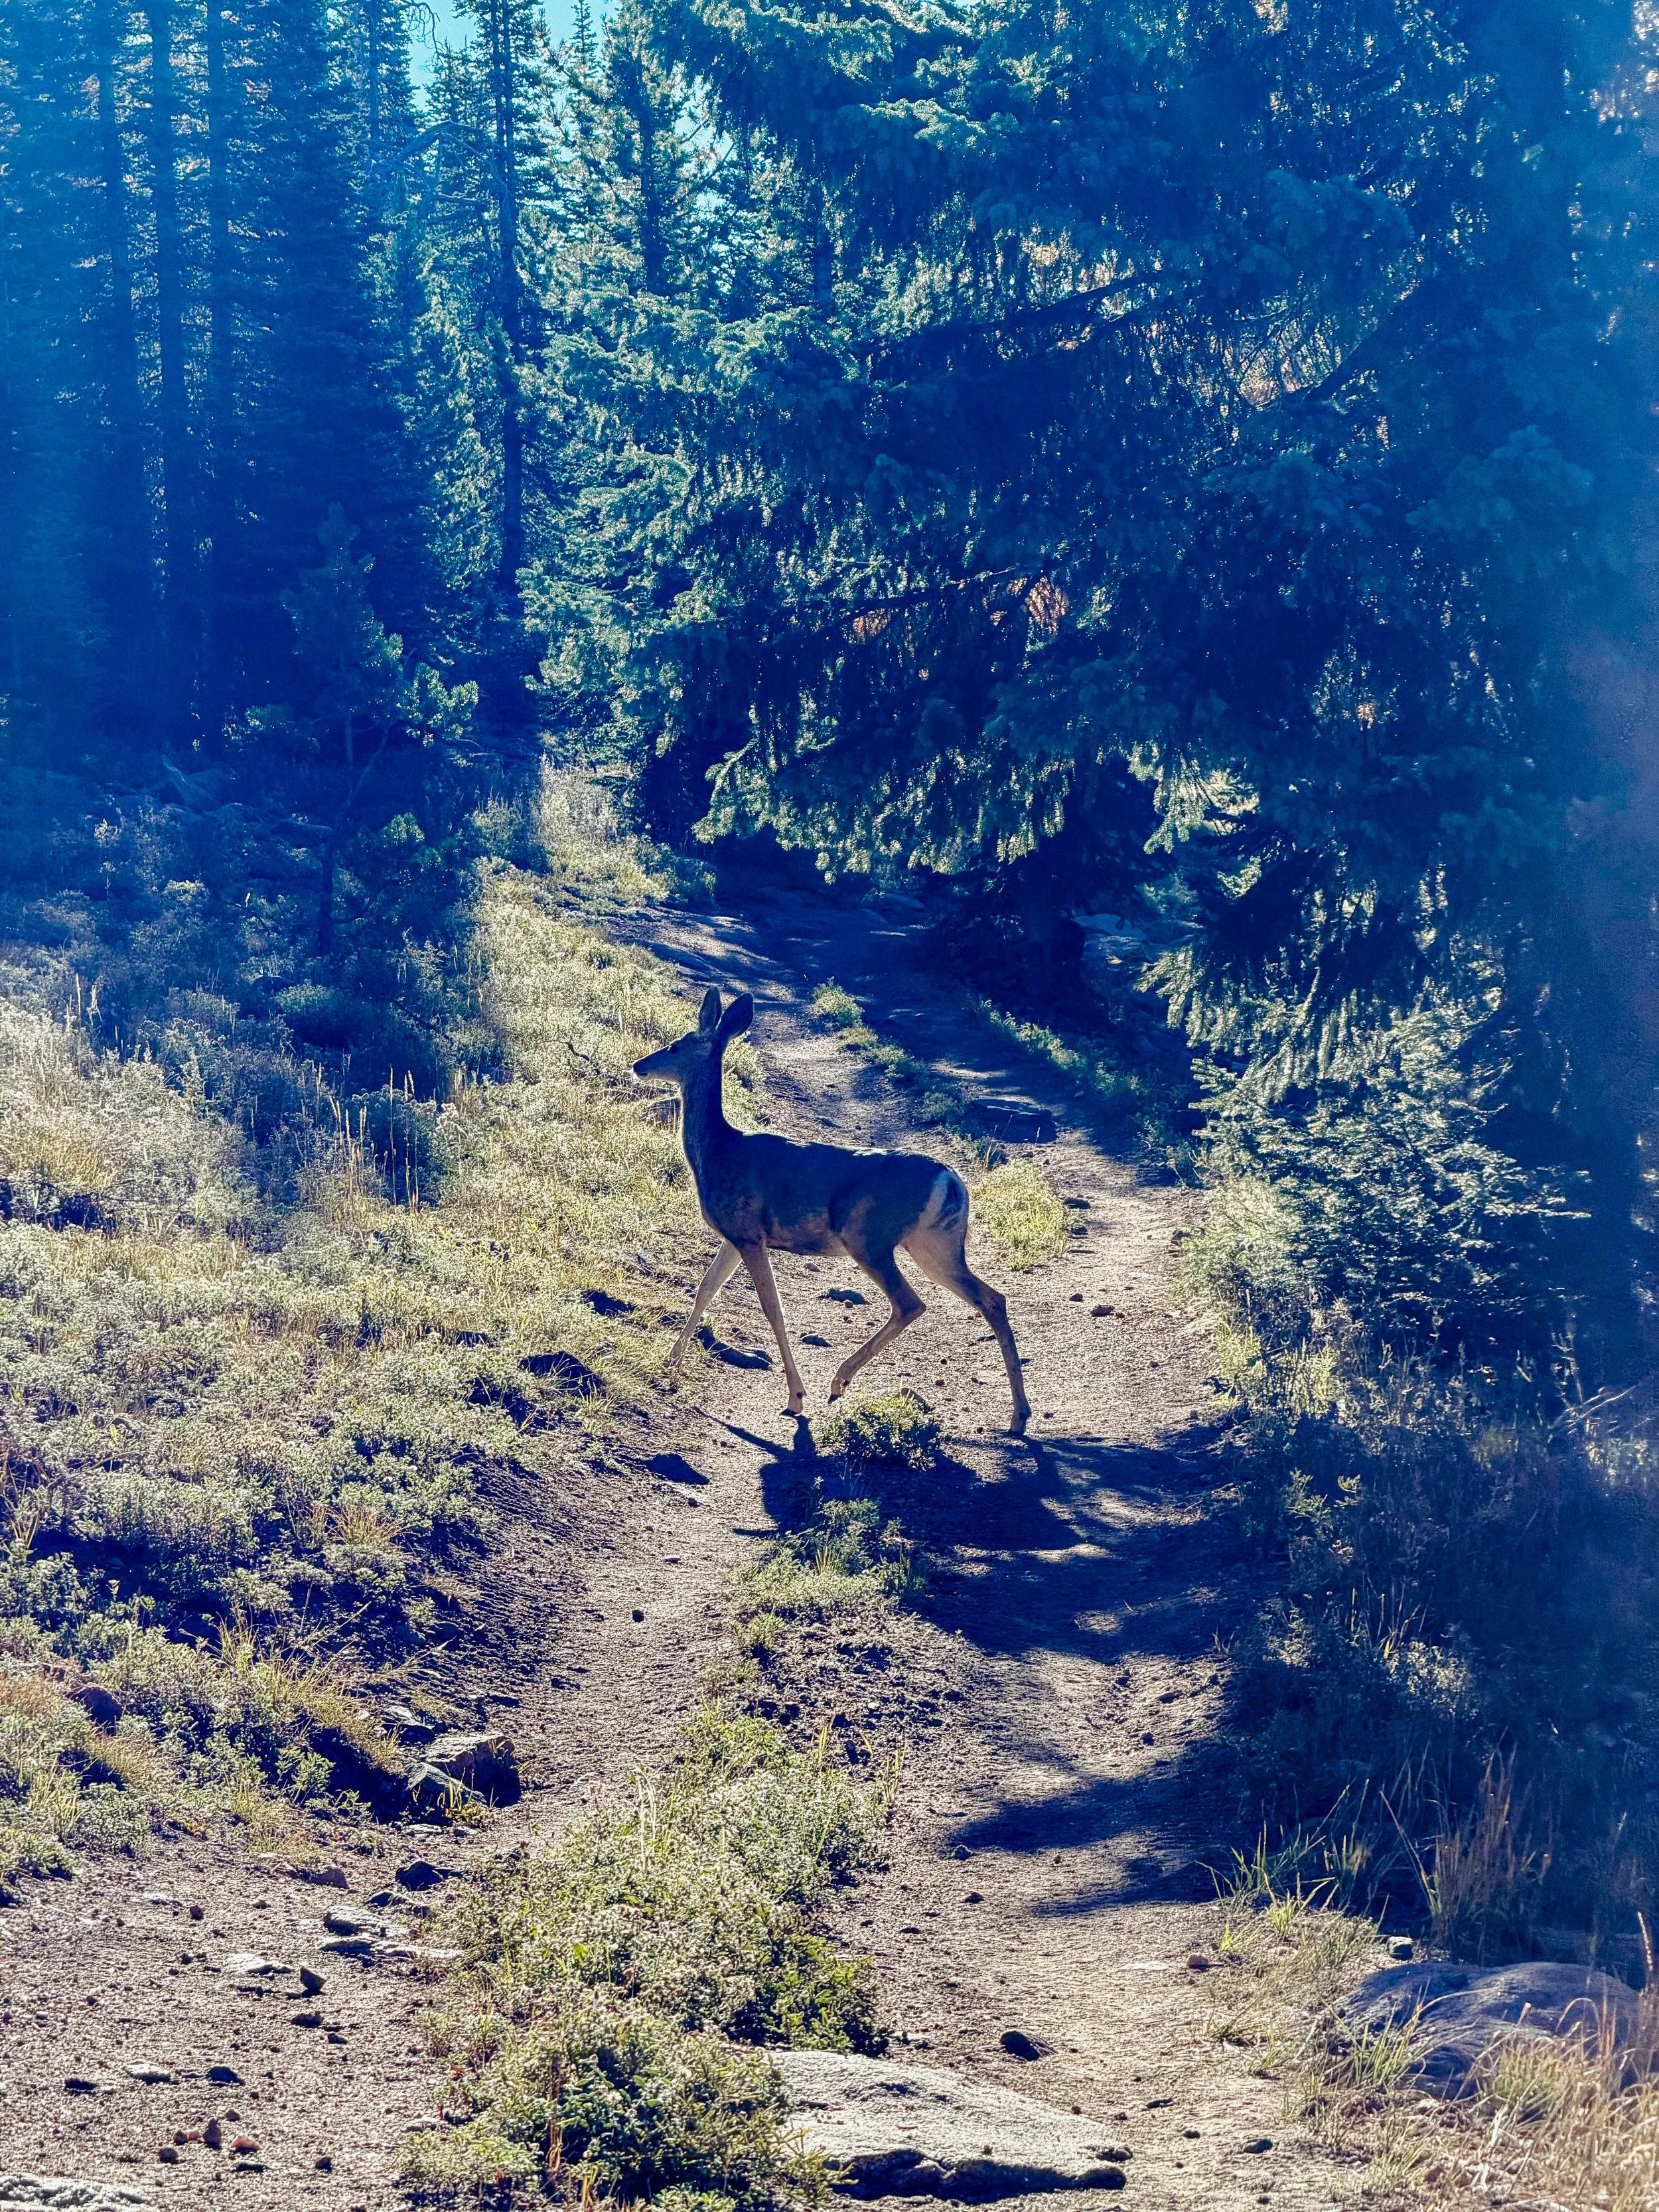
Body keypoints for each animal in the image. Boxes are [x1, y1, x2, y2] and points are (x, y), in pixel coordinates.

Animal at [632, 988, 1031, 1434]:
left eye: (675, 1045)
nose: (639, 1065)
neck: (718, 1152)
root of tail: (952, 1182)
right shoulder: (736, 1234)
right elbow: (705, 1290)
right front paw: (670, 1360)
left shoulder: (748, 1230)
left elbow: (773, 1308)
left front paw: (795, 1398)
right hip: (935, 1245)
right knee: (992, 1299)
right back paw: (1019, 1417)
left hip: (868, 1235)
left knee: (911, 1302)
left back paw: (838, 1382)